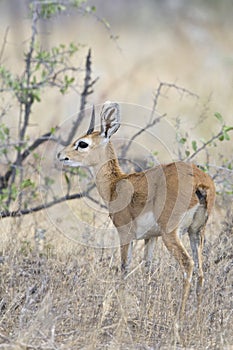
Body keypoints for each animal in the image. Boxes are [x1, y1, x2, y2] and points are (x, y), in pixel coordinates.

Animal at [57, 101, 216, 318]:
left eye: (82, 143)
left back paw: (180, 318)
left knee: (187, 264)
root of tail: (201, 183)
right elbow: (147, 270)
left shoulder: (125, 234)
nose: (61, 156)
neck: (116, 184)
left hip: (171, 234)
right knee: (200, 270)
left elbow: (124, 268)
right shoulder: (151, 238)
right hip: (196, 232)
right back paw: (198, 319)